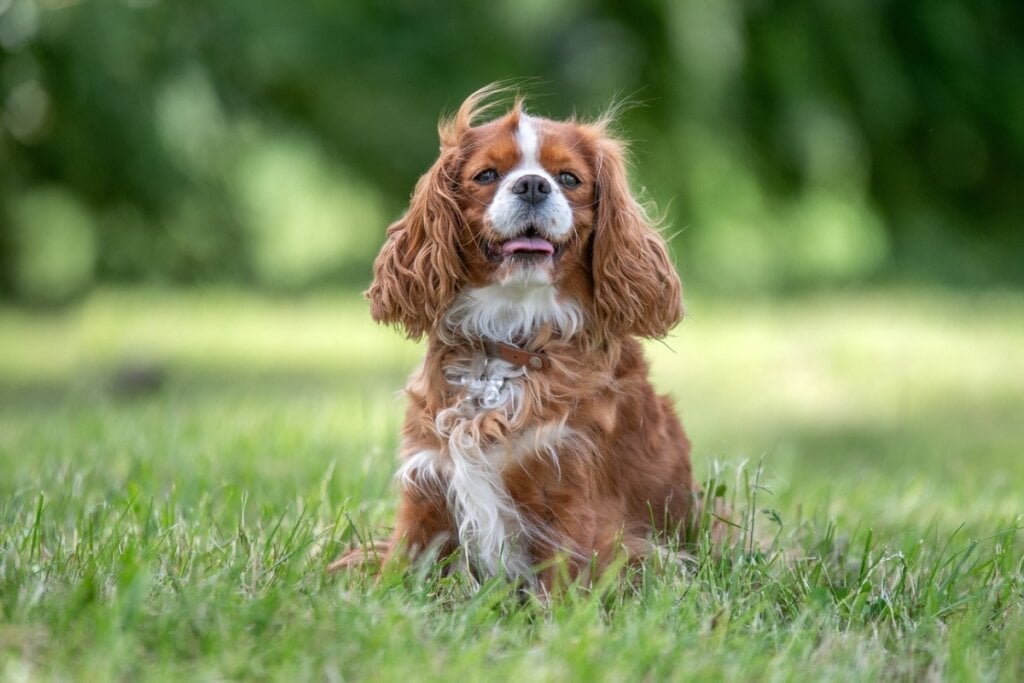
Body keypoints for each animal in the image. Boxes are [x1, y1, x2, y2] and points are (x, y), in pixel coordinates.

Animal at [331, 85, 700, 589]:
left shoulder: (569, 487)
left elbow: (562, 582)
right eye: (487, 175)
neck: (508, 337)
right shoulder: (427, 484)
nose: (532, 185)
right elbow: (397, 569)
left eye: (568, 178)